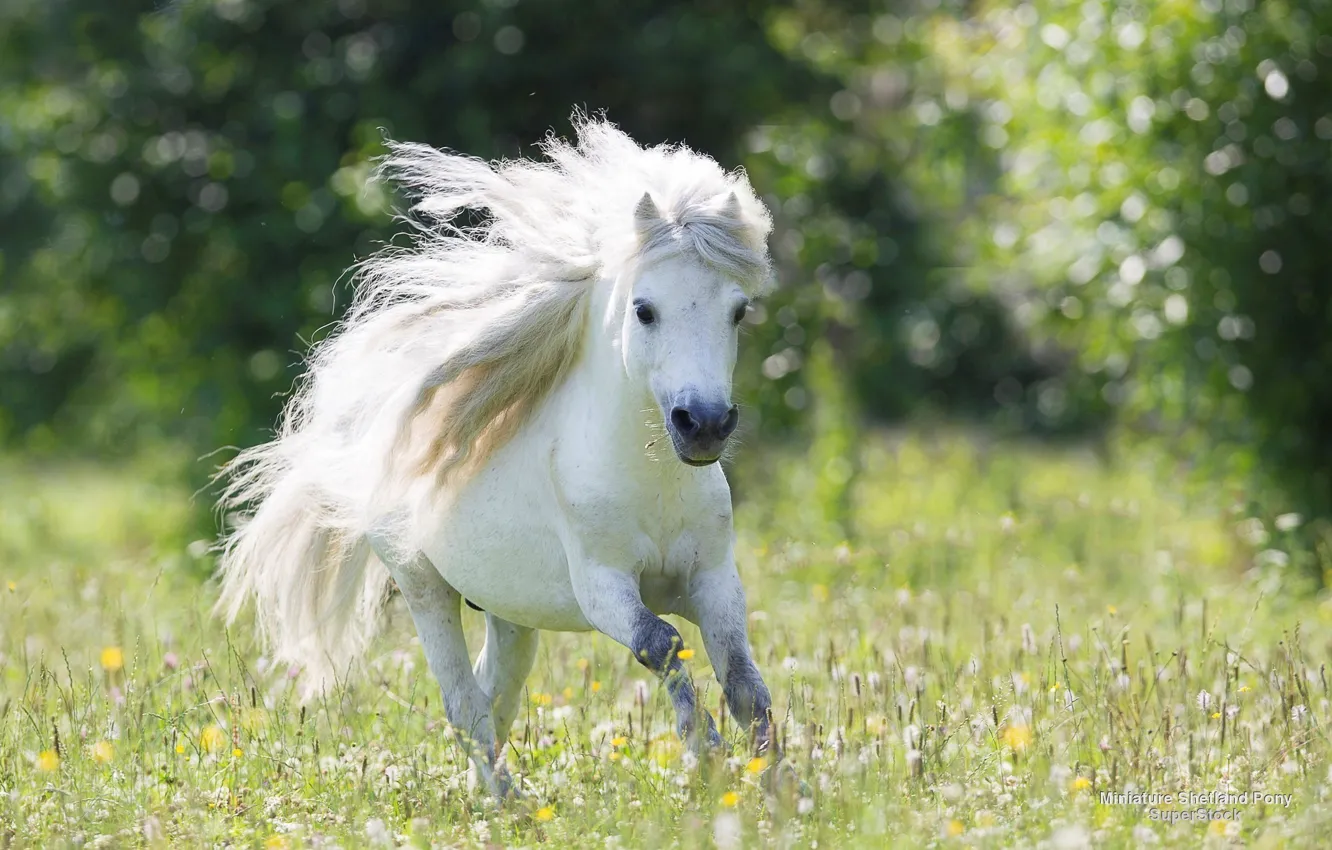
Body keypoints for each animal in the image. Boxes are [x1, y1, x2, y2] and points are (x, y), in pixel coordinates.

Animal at [215, 114, 777, 799]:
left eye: (738, 310)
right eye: (645, 310)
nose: (703, 426)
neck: (653, 484)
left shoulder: (714, 580)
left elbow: (745, 683)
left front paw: (776, 783)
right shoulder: (603, 586)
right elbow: (662, 645)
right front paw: (709, 758)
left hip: (510, 613)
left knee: (494, 694)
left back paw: (488, 793)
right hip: (424, 588)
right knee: (464, 704)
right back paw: (508, 802)